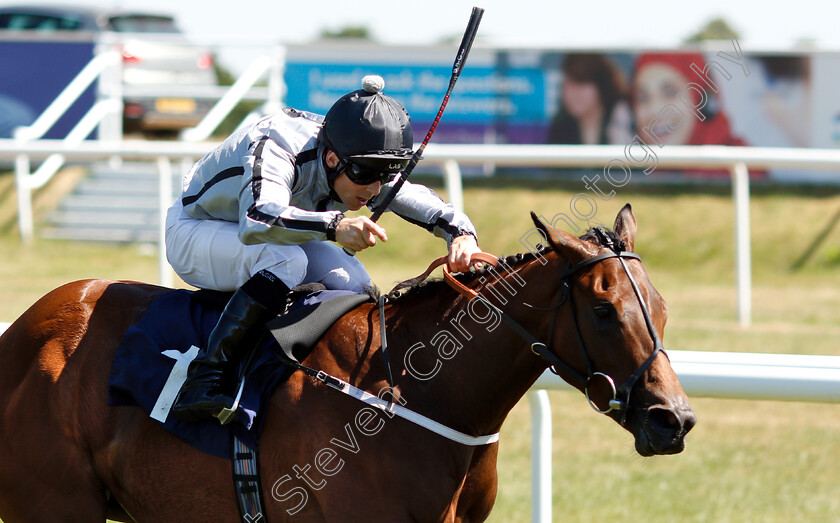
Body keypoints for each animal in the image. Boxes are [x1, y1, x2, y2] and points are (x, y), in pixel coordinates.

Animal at [0, 204, 692, 520]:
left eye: (660, 307)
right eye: (603, 311)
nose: (673, 419)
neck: (414, 394)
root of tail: (23, 335)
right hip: (58, 503)